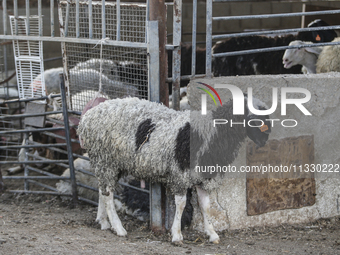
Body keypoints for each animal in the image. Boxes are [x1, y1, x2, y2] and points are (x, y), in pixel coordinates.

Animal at [78, 96, 272, 244]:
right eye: (253, 119)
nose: (264, 142)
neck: (213, 133)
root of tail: (87, 117)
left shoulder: (202, 177)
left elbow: (206, 206)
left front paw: (212, 234)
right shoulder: (180, 175)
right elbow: (181, 204)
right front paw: (177, 234)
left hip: (109, 164)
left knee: (103, 191)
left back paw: (103, 221)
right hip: (106, 160)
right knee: (109, 195)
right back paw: (118, 228)